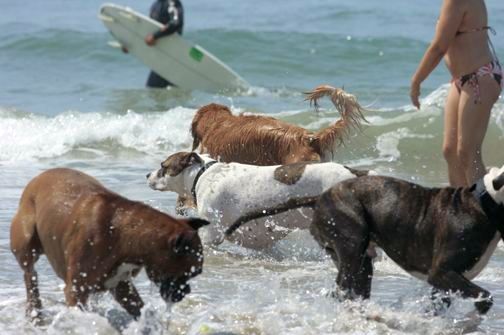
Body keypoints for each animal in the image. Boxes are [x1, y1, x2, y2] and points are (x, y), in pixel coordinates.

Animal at [10, 169, 210, 324]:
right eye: (191, 272)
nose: (187, 291)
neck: (124, 234)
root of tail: (38, 176)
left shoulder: (121, 286)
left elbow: (138, 307)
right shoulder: (76, 290)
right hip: (26, 239)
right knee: (30, 274)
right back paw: (35, 310)